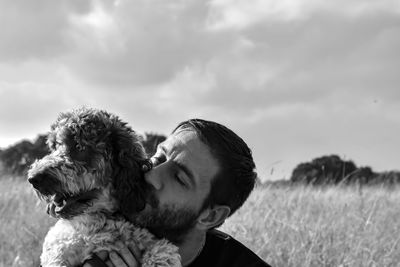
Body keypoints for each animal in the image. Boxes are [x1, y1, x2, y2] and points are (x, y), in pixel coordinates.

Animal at [26, 108, 180, 267]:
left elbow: (162, 251)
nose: (33, 178)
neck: (100, 220)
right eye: (55, 146)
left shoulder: (152, 241)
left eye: (80, 147)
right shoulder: (57, 245)